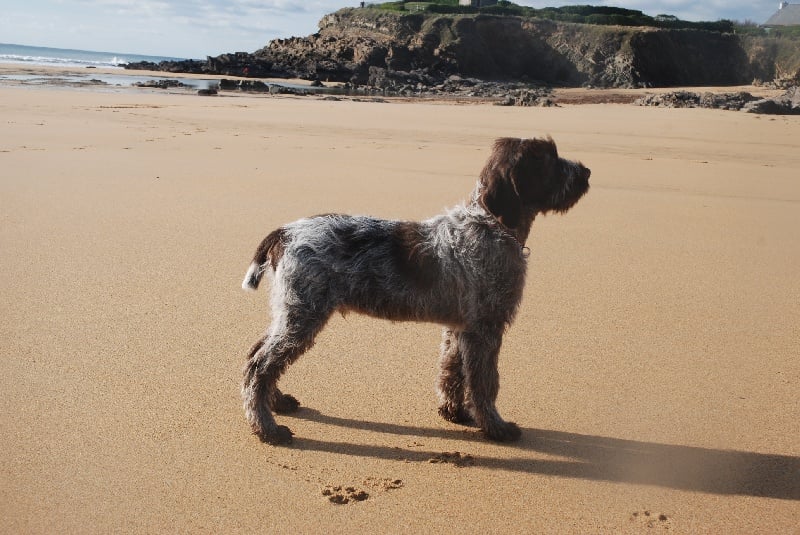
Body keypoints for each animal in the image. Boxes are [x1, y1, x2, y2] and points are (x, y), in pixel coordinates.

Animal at [241, 136, 590, 445]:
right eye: (549, 159)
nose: (586, 172)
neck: (490, 224)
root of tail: (285, 232)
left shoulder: (460, 328)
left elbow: (452, 371)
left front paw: (454, 412)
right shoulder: (485, 330)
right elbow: (484, 384)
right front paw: (496, 427)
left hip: (289, 311)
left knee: (258, 354)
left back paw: (276, 402)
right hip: (303, 315)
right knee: (260, 366)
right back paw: (267, 429)